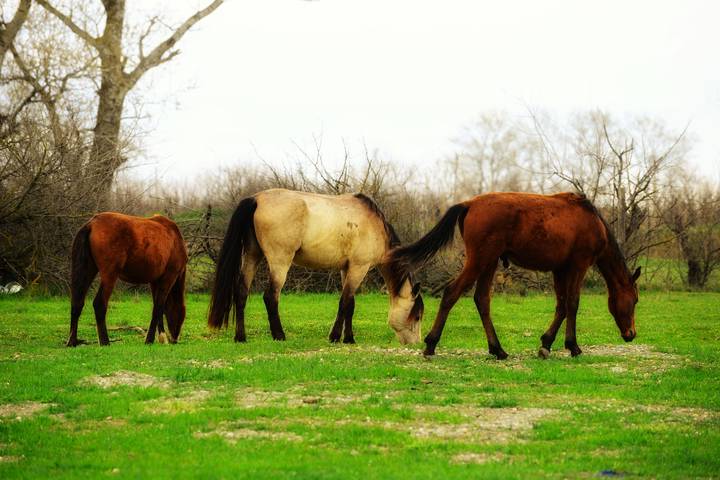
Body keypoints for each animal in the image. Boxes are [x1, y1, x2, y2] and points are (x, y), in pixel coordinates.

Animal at [67, 212, 188, 346]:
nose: (175, 339)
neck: (174, 239)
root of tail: (92, 223)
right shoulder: (168, 278)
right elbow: (158, 308)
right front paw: (151, 339)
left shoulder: (154, 282)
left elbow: (159, 308)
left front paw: (161, 337)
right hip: (110, 275)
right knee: (99, 303)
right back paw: (105, 341)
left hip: (88, 270)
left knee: (77, 302)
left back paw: (72, 341)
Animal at [208, 188, 424, 344]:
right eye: (417, 315)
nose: (415, 344)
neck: (373, 224)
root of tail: (257, 199)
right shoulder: (359, 268)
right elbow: (344, 302)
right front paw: (335, 337)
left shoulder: (347, 268)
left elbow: (350, 304)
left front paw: (349, 338)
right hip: (280, 262)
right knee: (271, 297)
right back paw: (279, 335)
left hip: (252, 256)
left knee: (241, 292)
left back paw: (240, 337)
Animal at [387, 192, 640, 358]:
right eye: (635, 300)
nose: (631, 334)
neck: (593, 222)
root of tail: (469, 204)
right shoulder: (579, 265)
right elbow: (572, 304)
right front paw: (573, 346)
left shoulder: (560, 270)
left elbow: (561, 305)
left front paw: (546, 343)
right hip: (480, 261)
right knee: (451, 293)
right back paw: (431, 344)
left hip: (489, 262)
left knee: (482, 299)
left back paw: (497, 349)